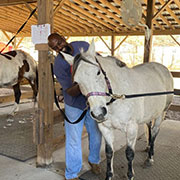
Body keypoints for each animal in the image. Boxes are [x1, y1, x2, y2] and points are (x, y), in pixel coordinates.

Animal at [61, 41, 173, 180]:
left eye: (98, 72)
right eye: (76, 82)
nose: (99, 113)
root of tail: (163, 68)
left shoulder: (131, 128)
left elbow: (129, 153)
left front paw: (130, 175)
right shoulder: (105, 128)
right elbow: (109, 152)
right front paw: (109, 175)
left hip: (161, 114)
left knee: (155, 132)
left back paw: (150, 158)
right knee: (149, 129)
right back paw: (147, 148)